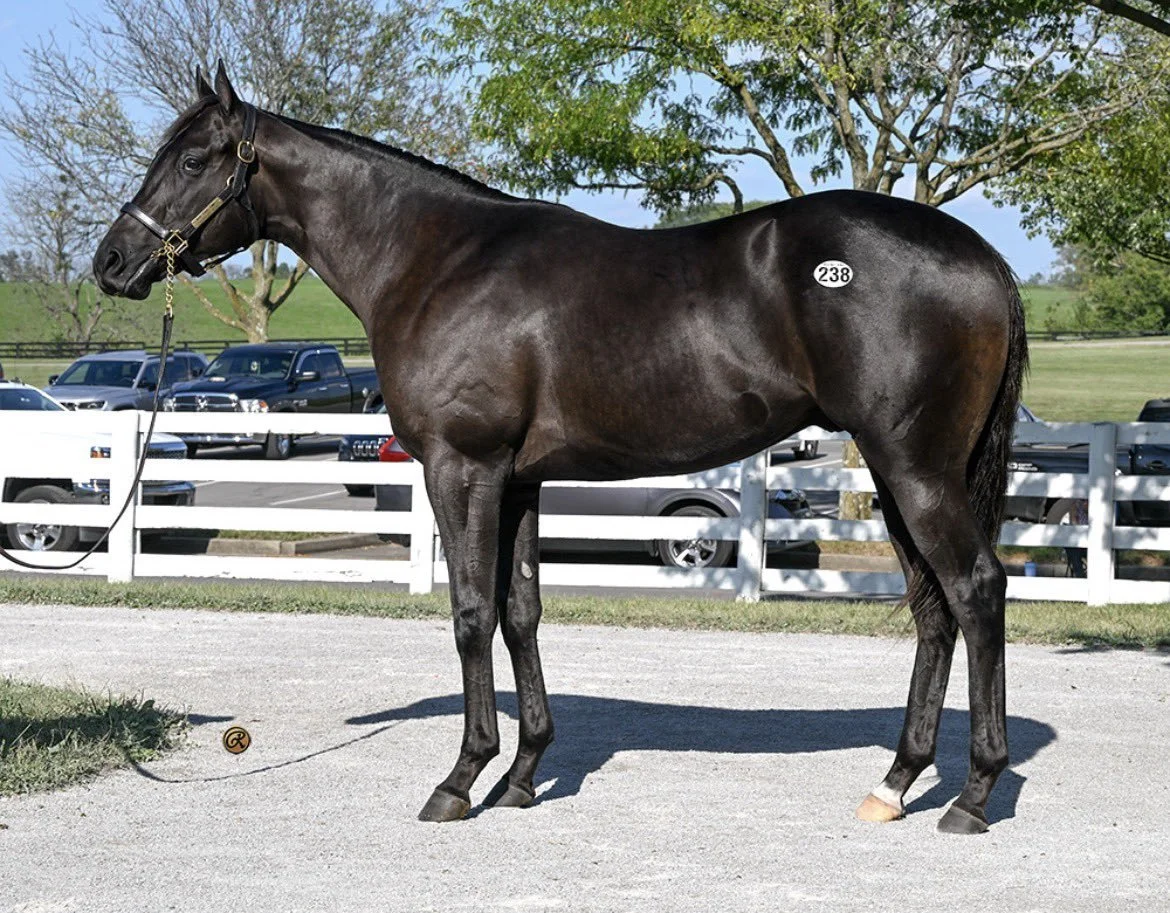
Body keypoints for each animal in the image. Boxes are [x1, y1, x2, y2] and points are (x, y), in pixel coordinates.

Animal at [94, 64, 1027, 835]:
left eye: (192, 160)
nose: (112, 261)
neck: (435, 261)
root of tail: (981, 256)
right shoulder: (518, 480)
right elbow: (521, 613)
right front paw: (521, 775)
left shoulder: (462, 467)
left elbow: (472, 614)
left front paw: (460, 779)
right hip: (897, 471)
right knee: (934, 609)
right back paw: (895, 783)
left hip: (914, 468)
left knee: (976, 591)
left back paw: (973, 795)